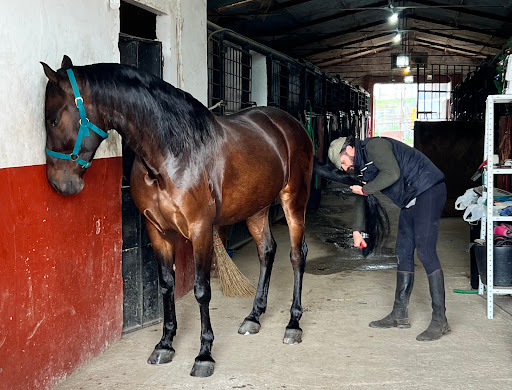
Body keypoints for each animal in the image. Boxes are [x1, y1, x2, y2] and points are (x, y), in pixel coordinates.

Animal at [41, 55, 388, 378]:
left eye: (54, 120)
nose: (59, 183)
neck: (171, 152)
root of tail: (292, 125)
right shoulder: (157, 231)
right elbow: (166, 284)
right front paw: (165, 344)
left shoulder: (200, 230)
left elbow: (201, 289)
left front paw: (204, 354)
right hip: (256, 209)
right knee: (267, 251)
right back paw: (253, 317)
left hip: (294, 201)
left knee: (296, 254)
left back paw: (293, 323)